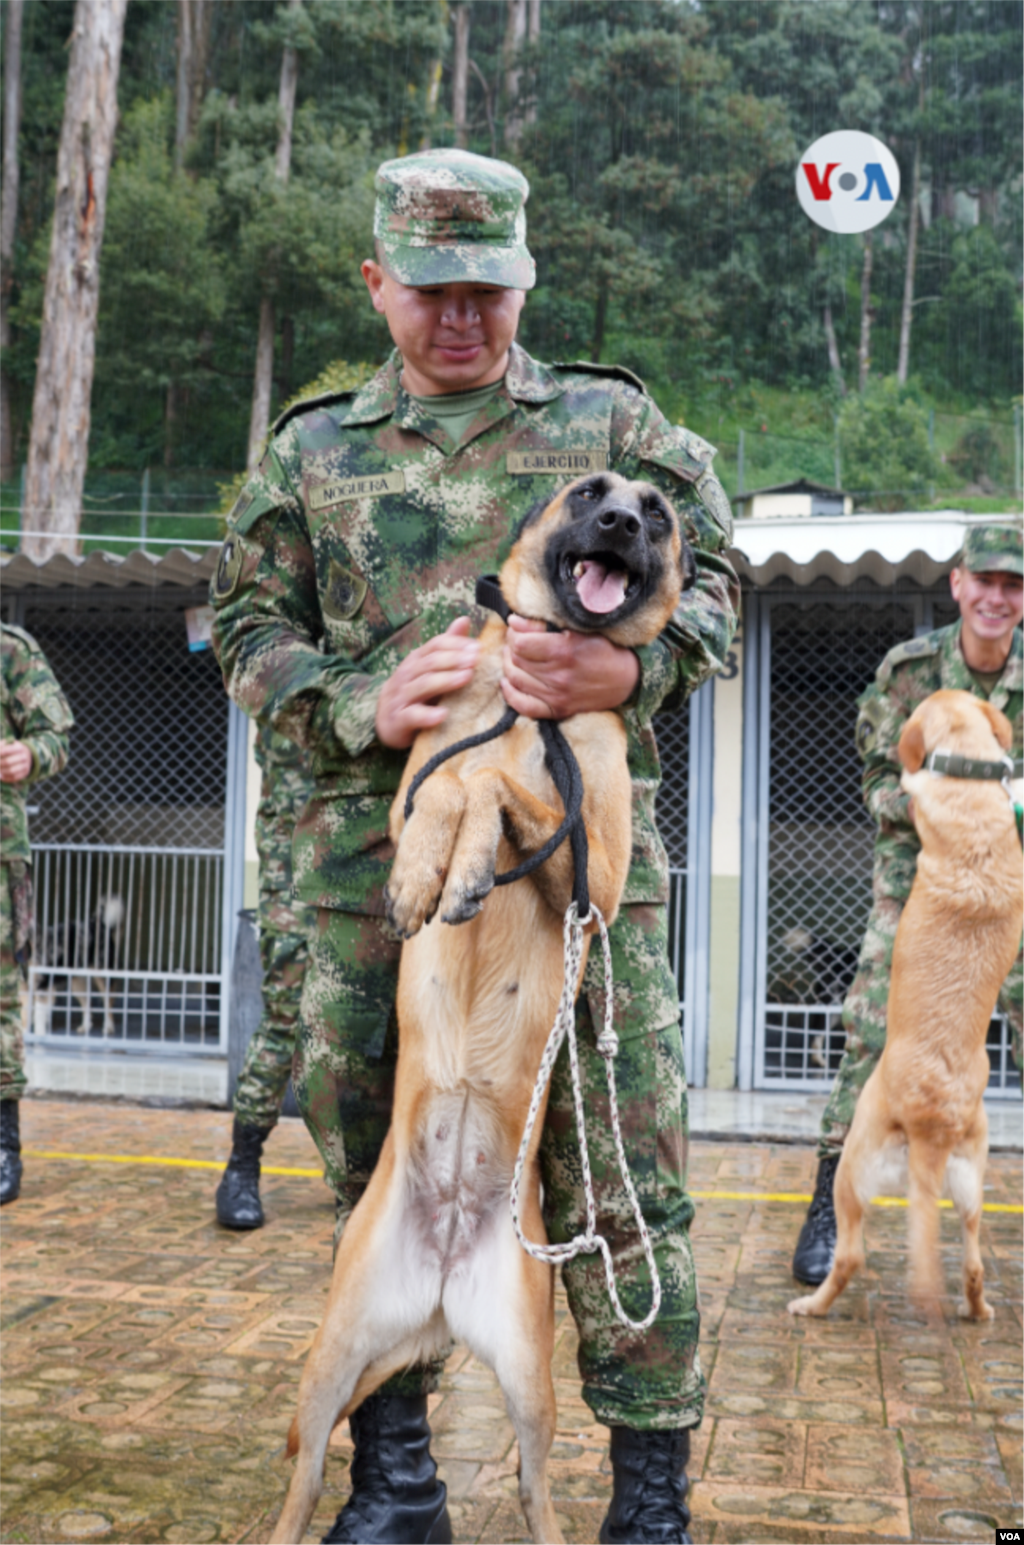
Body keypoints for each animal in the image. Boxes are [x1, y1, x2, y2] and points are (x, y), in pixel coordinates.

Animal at [268, 472, 691, 1545]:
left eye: (659, 513)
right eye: (590, 494)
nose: (621, 523)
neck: (524, 695)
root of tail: (445, 1275)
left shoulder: (599, 873)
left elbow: (492, 781)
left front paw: (464, 867)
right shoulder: (415, 782)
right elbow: (448, 786)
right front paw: (429, 876)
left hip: (533, 1393)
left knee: (539, 1494)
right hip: (327, 1365)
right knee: (304, 1480)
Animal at [790, 695, 1024, 1322]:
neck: (972, 781)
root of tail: (932, 1123)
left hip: (852, 1169)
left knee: (849, 1256)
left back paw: (811, 1306)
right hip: (972, 1186)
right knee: (972, 1264)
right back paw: (978, 1311)